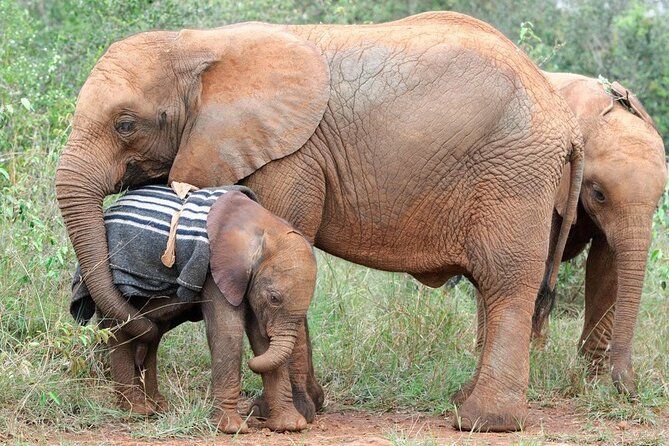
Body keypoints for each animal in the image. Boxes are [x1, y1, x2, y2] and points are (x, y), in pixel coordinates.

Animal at [71, 190, 318, 433]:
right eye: (274, 298)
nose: (251, 365)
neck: (264, 226)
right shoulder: (216, 268)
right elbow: (227, 330)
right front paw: (232, 429)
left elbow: (260, 337)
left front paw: (290, 426)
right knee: (122, 331)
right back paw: (137, 411)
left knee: (152, 336)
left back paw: (157, 406)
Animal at [530, 73, 668, 396]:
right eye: (599, 194)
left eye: (659, 200)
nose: (631, 385)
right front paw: (533, 362)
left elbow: (607, 269)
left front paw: (594, 381)